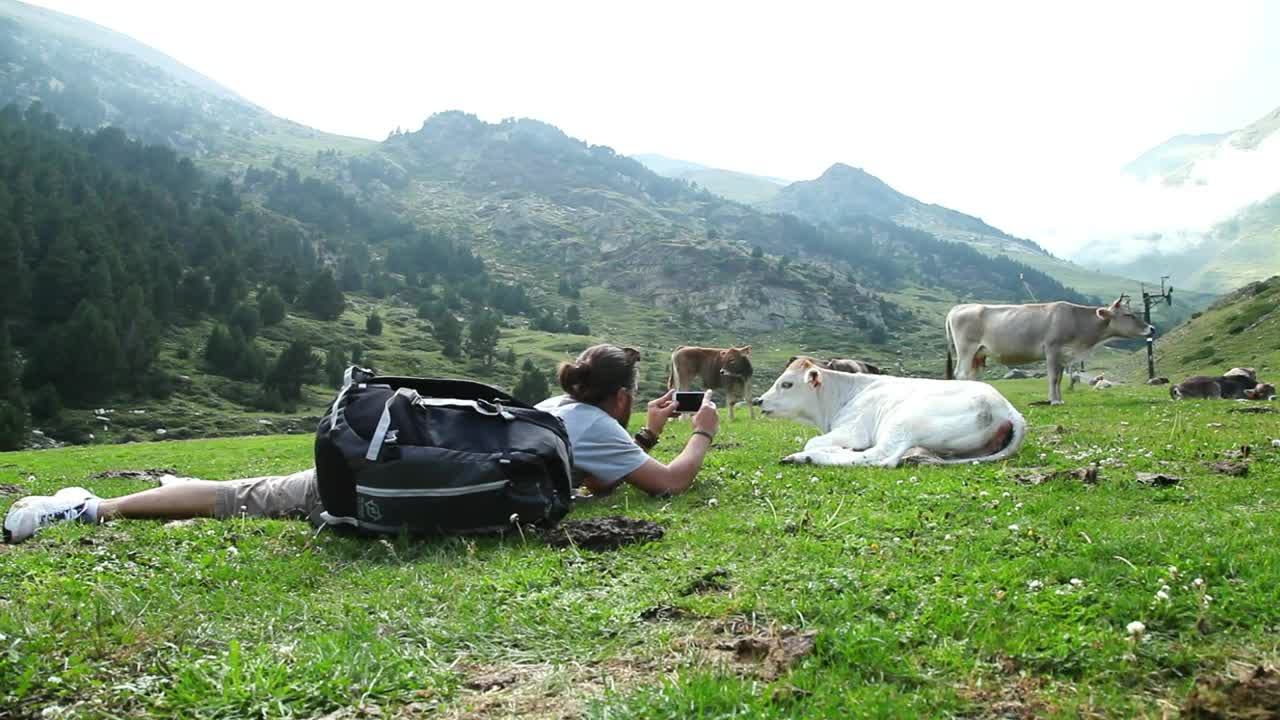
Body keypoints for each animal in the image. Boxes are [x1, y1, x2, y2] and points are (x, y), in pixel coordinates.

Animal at [754, 357, 1026, 467]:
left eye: (787, 384)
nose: (759, 400)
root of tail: (1008, 409)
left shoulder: (853, 431)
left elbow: (812, 441)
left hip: (903, 421)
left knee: (881, 457)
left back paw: (802, 458)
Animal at [945, 298, 1154, 405]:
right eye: (1128, 315)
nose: (1151, 328)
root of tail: (960, 307)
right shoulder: (1052, 349)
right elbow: (1053, 378)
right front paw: (1054, 401)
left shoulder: (1063, 354)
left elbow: (1059, 379)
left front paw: (1059, 399)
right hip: (966, 349)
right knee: (961, 374)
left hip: (979, 354)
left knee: (973, 375)